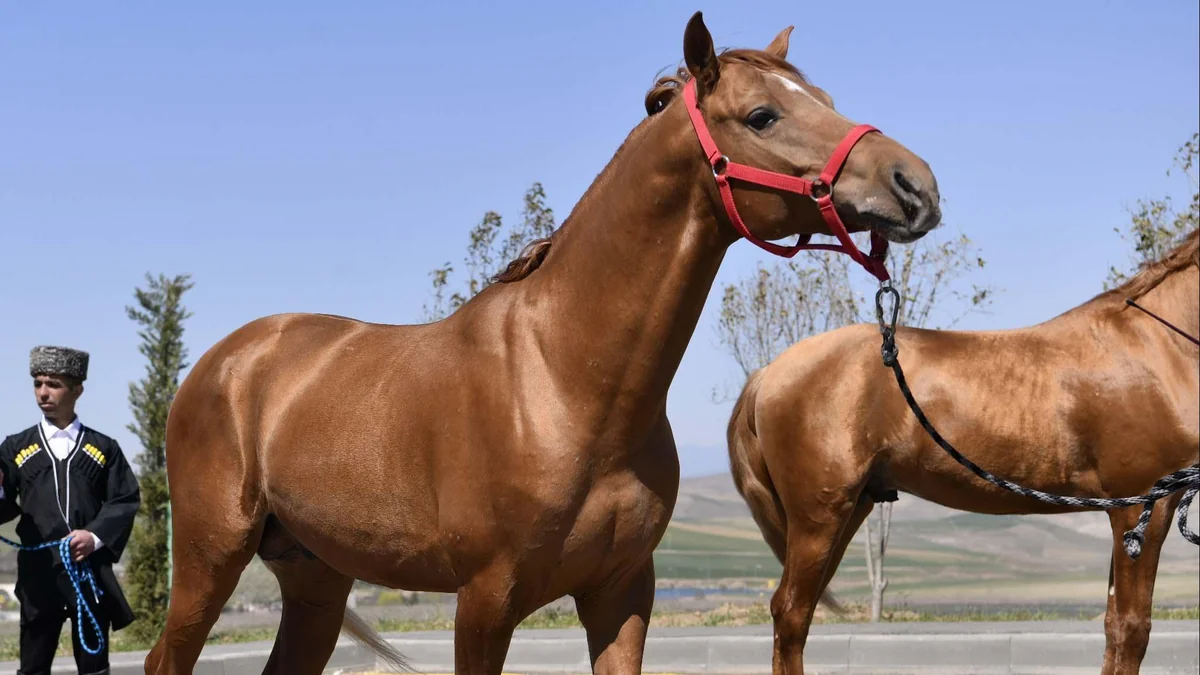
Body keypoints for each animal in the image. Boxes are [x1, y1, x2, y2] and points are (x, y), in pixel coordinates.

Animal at [147, 12, 943, 674]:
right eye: (762, 115)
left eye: (824, 96)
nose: (916, 184)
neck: (562, 379)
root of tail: (224, 362)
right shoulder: (485, 600)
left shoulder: (622, 592)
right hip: (211, 559)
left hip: (314, 575)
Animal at [727, 228, 1199, 674]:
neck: (1157, 345)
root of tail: (769, 373)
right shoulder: (1142, 505)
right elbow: (1131, 629)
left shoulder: (1125, 510)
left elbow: (1112, 626)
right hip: (818, 517)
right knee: (791, 614)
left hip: (849, 508)